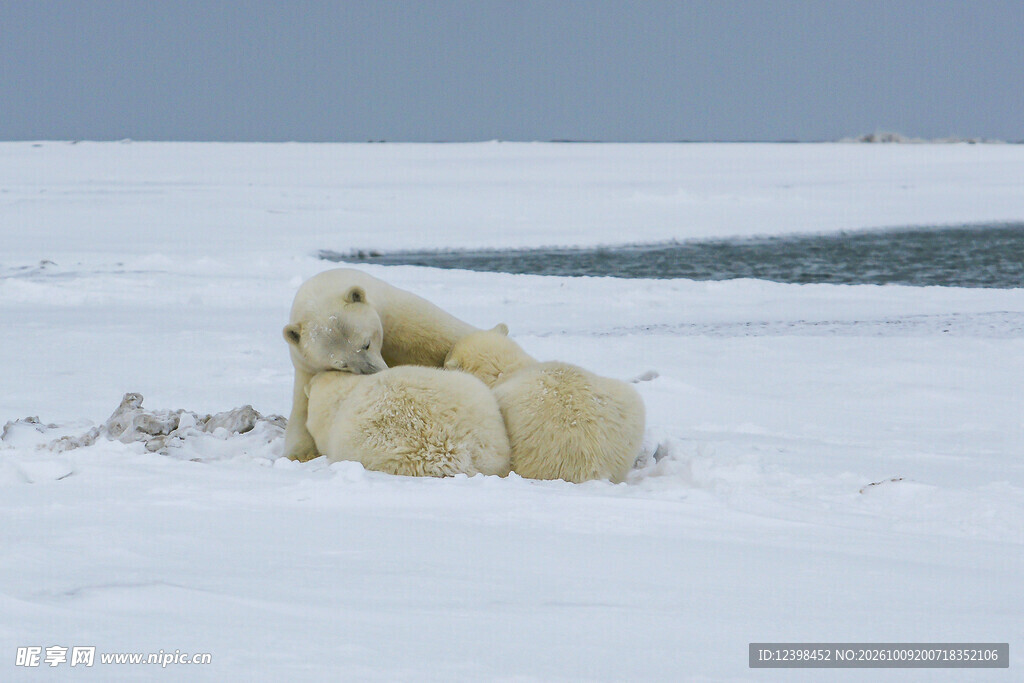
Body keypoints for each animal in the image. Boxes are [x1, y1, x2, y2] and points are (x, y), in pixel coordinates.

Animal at [283, 268, 478, 461]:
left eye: (366, 343)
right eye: (342, 364)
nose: (372, 373)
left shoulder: (403, 322)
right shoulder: (307, 365)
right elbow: (303, 412)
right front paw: (303, 454)